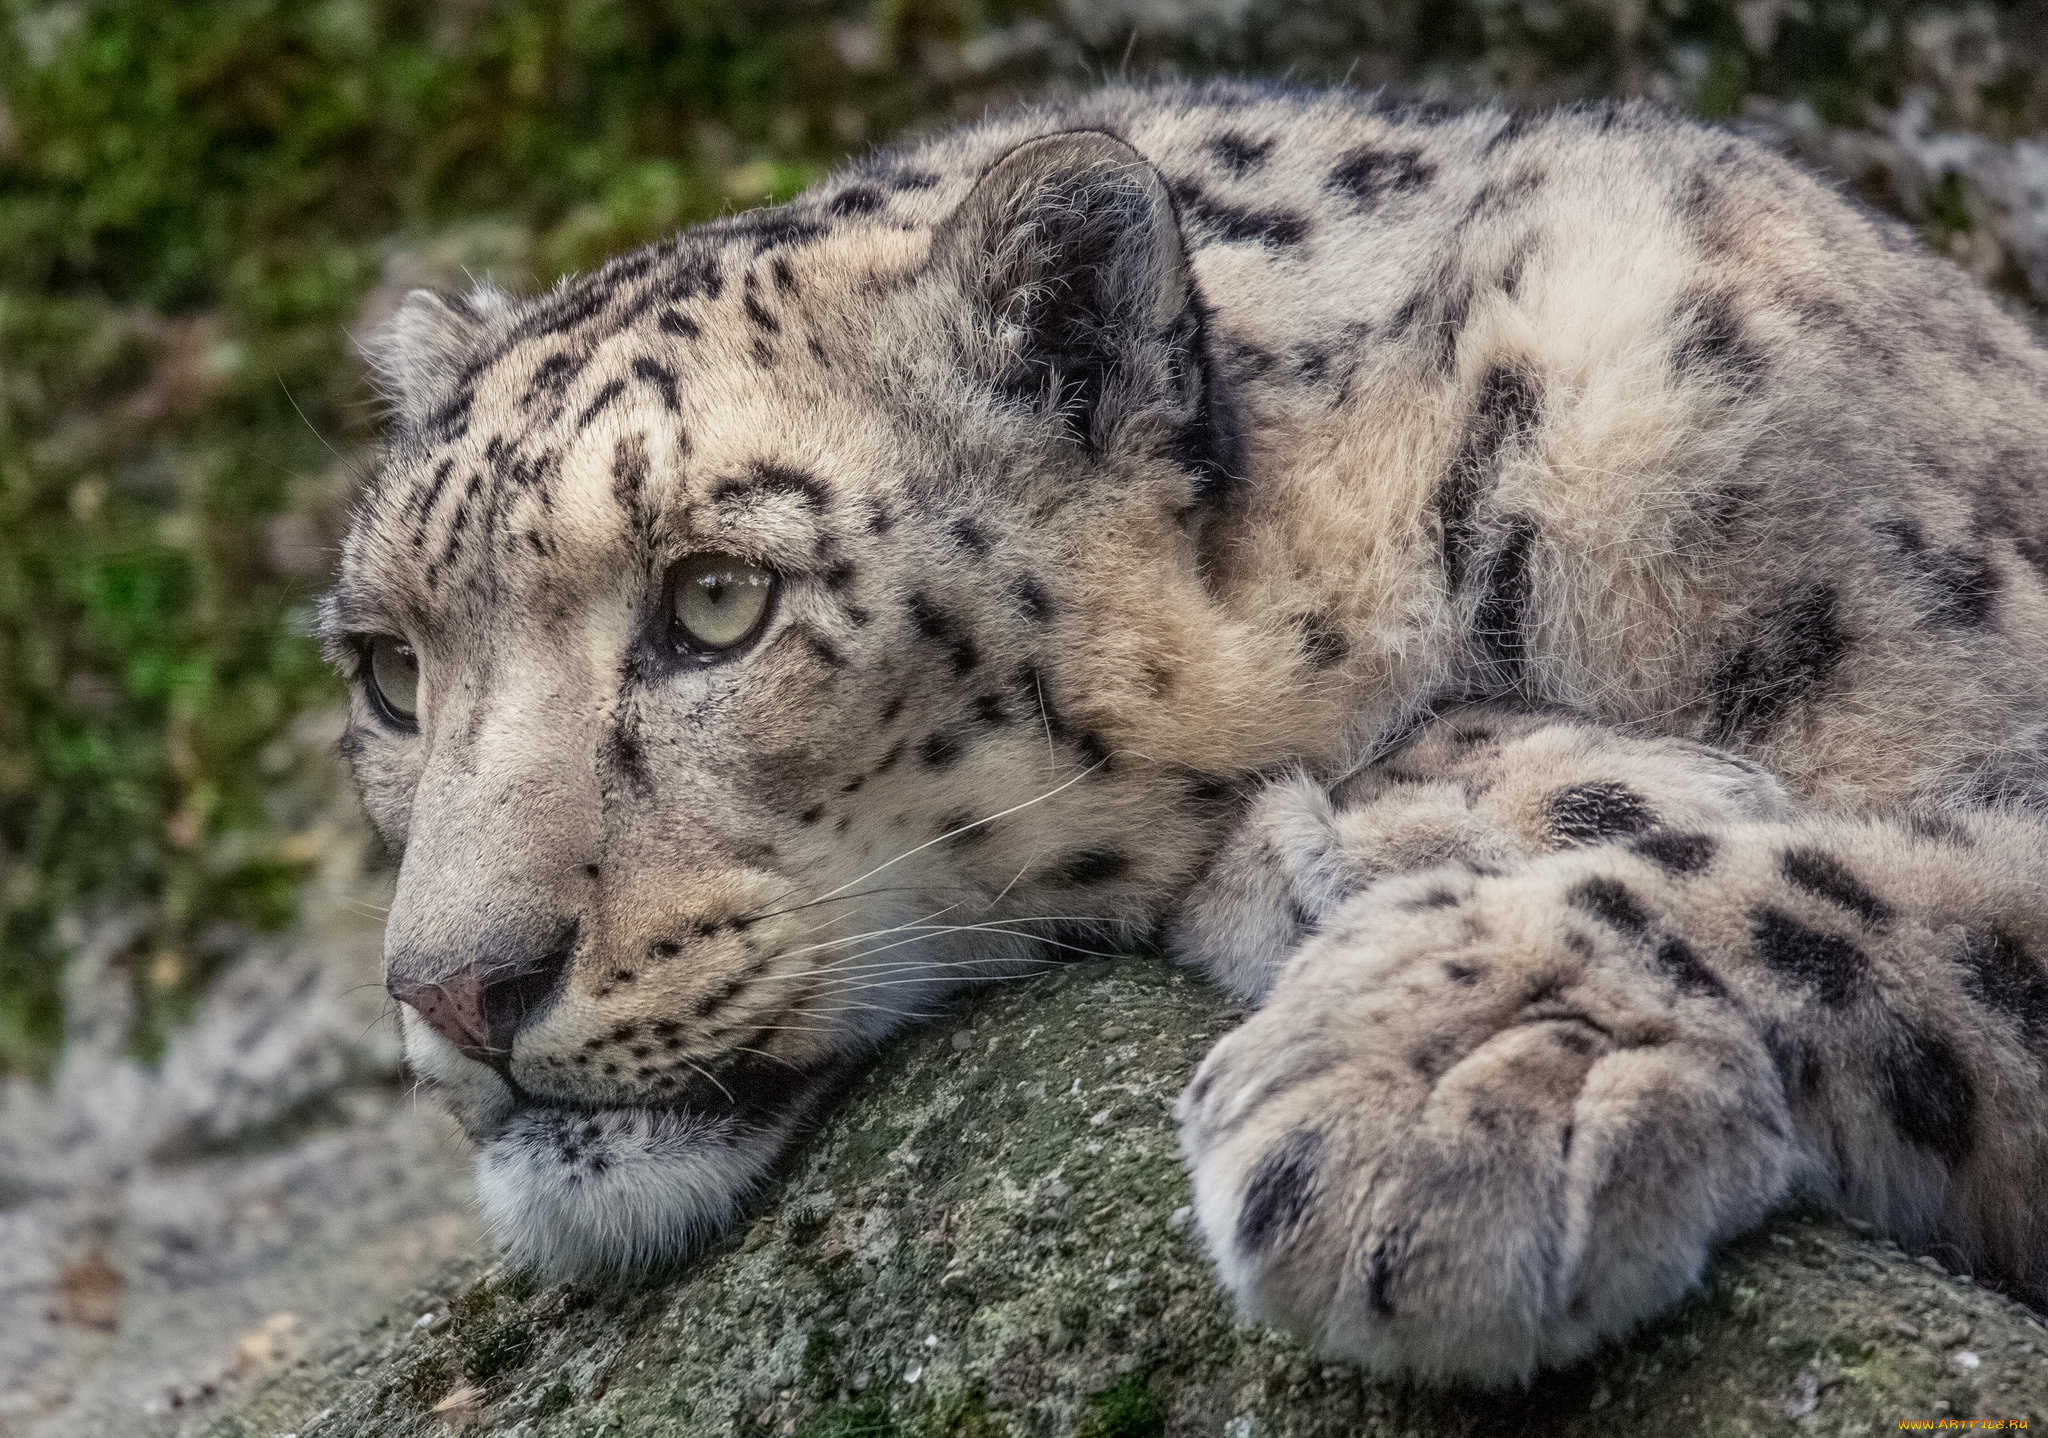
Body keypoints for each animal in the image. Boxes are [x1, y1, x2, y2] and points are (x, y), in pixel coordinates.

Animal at [322, 79, 2048, 1384]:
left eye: (719, 599)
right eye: (390, 670)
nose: (451, 989)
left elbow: (1880, 894)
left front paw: (1447, 1072)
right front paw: (1464, 818)